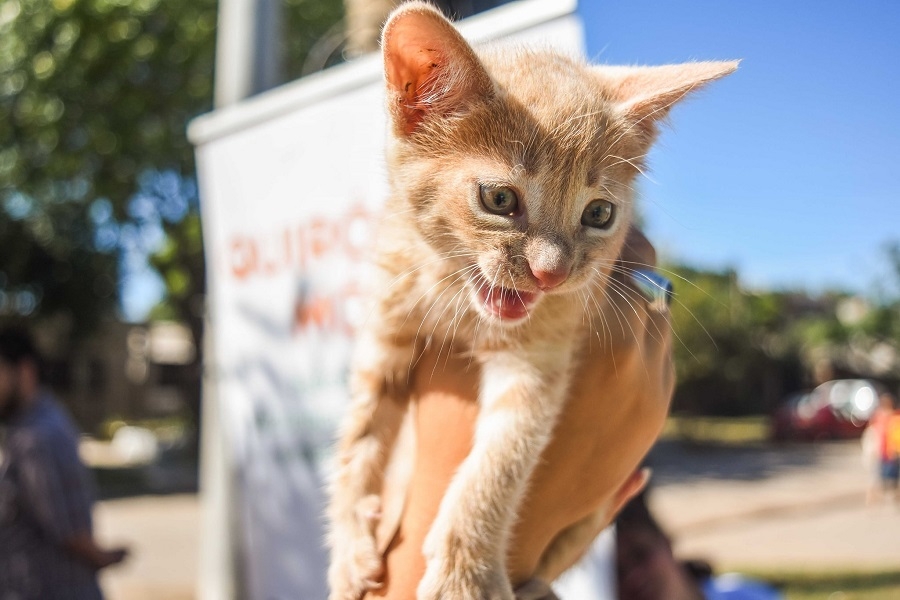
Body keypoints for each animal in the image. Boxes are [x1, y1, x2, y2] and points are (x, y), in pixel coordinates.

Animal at [326, 2, 736, 596]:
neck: (451, 293)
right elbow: (357, 438)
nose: (550, 274)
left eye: (599, 214)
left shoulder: (537, 360)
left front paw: (463, 572)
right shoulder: (384, 329)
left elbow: (501, 460)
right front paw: (348, 542)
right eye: (499, 199)